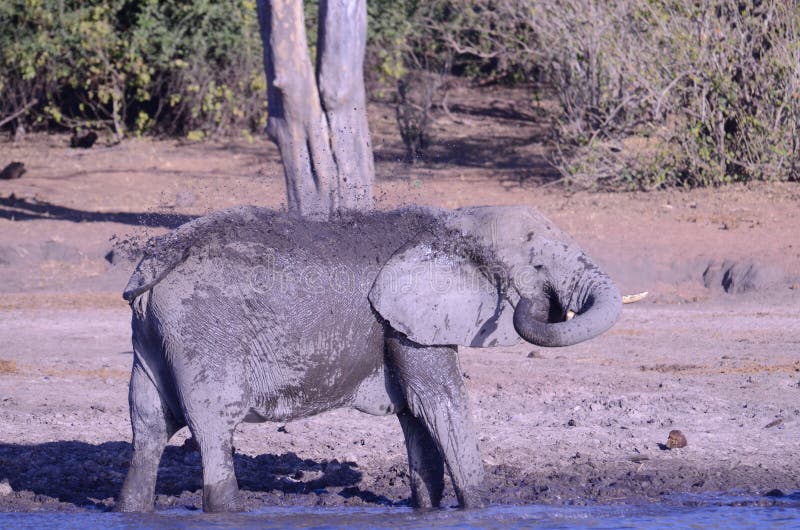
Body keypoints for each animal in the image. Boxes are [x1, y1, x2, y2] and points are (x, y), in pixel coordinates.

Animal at [116, 204, 622, 512]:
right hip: (203, 332)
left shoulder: (403, 321)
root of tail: (156, 263)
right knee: (213, 427)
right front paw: (480, 509)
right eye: (538, 265)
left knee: (148, 425)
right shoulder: (406, 319)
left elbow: (417, 414)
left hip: (151, 335)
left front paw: (429, 509)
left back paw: (131, 508)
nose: (534, 299)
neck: (452, 225)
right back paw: (226, 509)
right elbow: (441, 402)